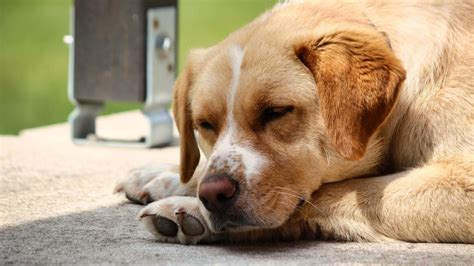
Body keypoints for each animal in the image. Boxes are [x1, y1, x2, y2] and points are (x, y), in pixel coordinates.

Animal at [115, 0, 474, 245]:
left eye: (275, 112)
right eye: (205, 124)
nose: (213, 195)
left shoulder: (464, 183)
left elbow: (333, 192)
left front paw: (192, 211)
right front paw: (168, 176)